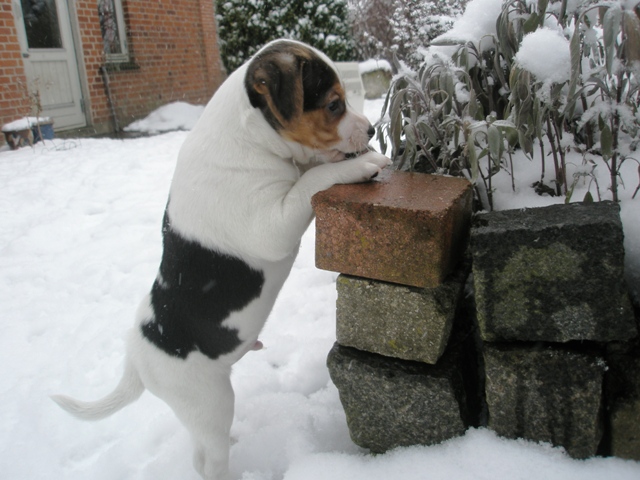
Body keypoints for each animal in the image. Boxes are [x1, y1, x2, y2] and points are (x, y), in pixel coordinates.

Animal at [52, 39, 390, 478]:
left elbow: (308, 169)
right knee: (207, 460)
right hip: (208, 402)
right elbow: (309, 182)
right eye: (334, 105)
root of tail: (137, 360)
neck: (249, 138)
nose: (370, 130)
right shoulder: (271, 224)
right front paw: (362, 162)